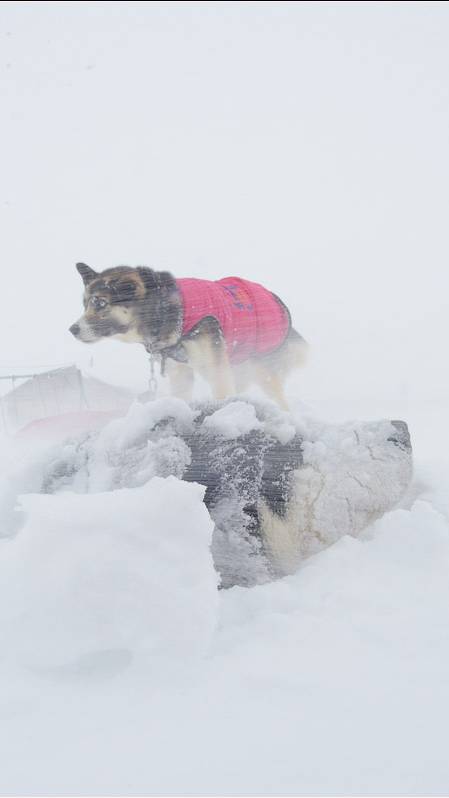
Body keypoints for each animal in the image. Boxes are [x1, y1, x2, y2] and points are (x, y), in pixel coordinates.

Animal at [69, 266, 308, 410]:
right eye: (85, 304)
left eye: (101, 303)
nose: (72, 329)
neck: (168, 310)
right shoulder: (180, 372)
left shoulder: (215, 369)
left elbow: (221, 395)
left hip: (262, 370)